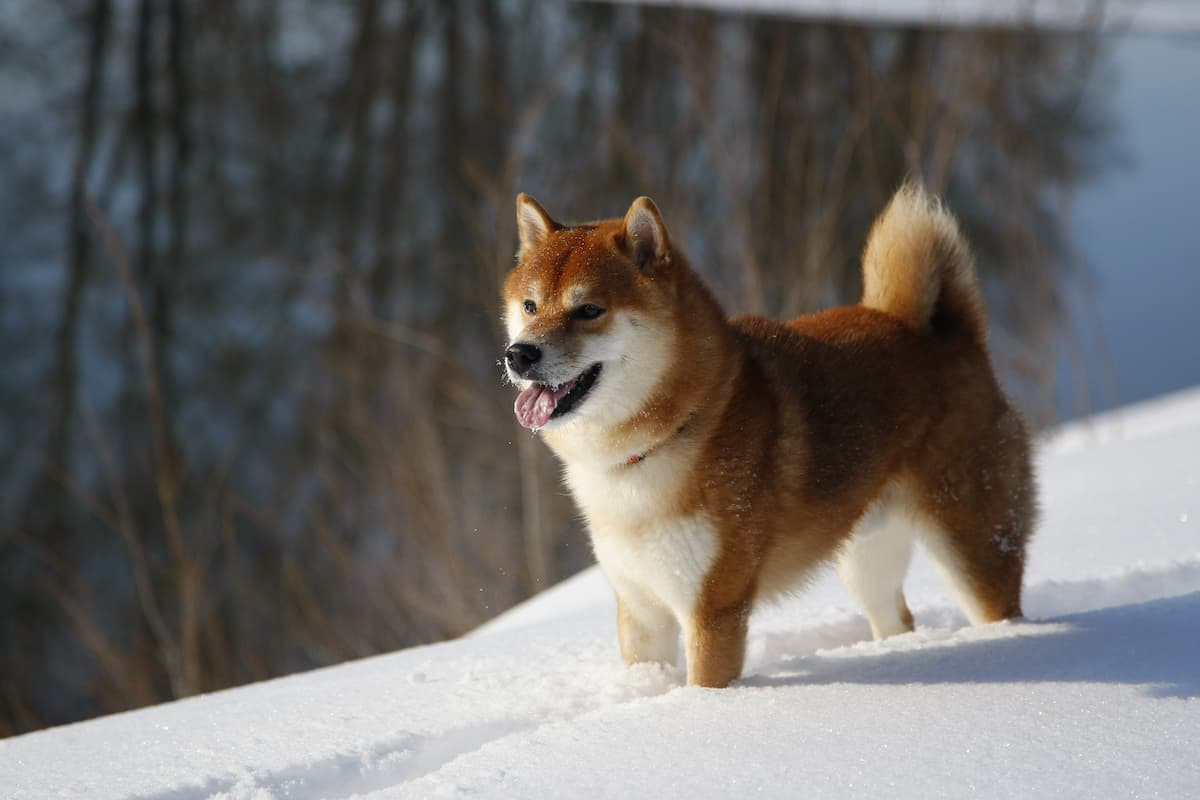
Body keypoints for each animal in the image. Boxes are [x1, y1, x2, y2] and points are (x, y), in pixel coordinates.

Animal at [501, 184, 1036, 686]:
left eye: (589, 310)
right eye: (530, 306)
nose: (519, 354)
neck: (662, 439)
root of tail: (946, 336)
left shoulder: (713, 607)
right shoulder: (641, 609)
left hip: (972, 551)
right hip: (866, 561)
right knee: (897, 619)